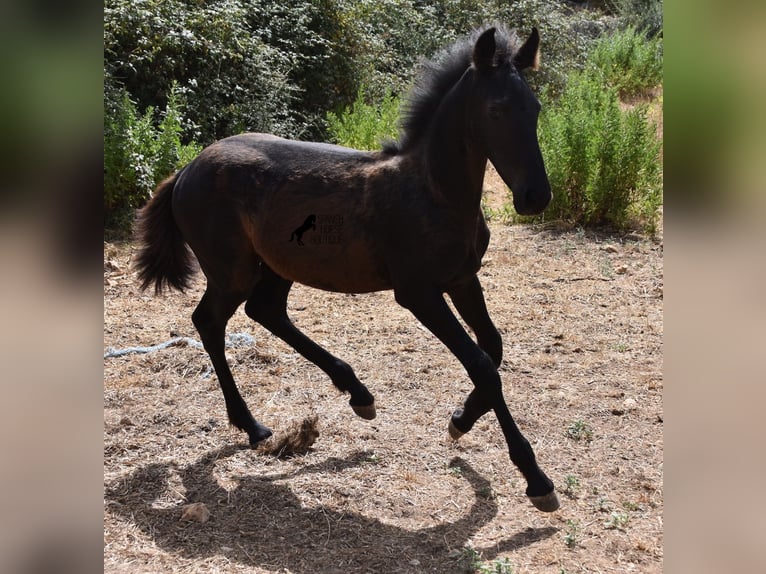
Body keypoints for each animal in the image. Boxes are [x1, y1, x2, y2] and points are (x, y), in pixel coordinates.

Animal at [136, 27, 560, 512]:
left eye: (535, 108)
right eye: (495, 110)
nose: (535, 196)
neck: (435, 192)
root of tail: (185, 170)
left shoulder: (462, 278)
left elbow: (493, 346)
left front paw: (461, 420)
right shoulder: (418, 292)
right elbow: (482, 363)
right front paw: (536, 479)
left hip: (278, 263)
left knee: (266, 311)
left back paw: (357, 393)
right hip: (231, 270)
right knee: (209, 320)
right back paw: (254, 426)